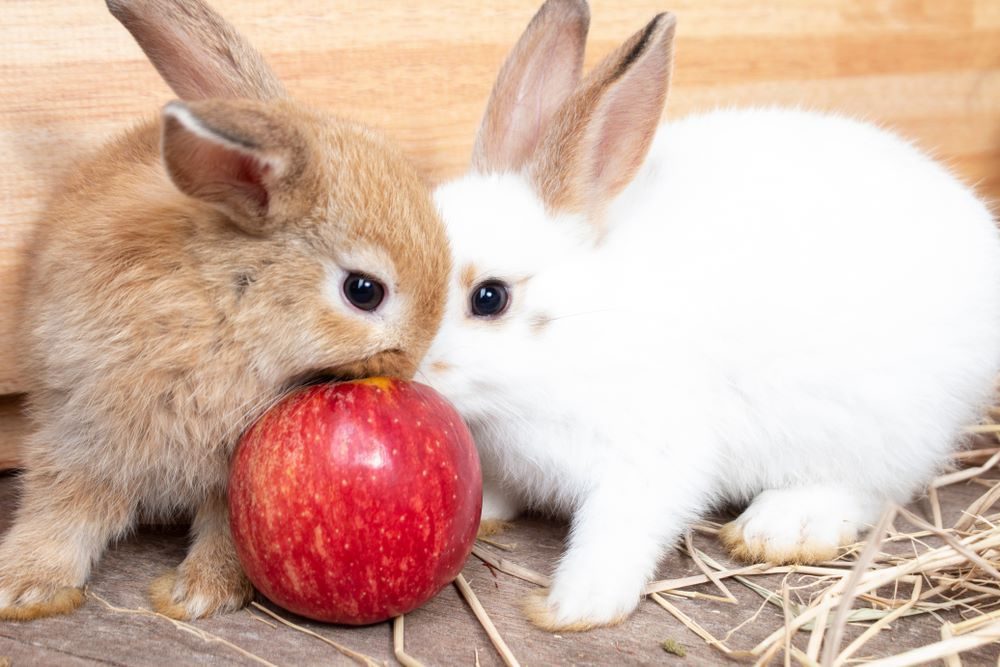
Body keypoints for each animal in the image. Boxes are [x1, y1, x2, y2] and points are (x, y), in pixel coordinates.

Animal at [0, 0, 450, 622]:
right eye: (364, 291)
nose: (407, 365)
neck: (230, 314)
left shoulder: (228, 476)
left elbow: (222, 534)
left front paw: (196, 596)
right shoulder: (82, 429)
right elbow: (63, 509)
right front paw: (24, 589)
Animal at [418, 0, 1000, 631]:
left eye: (490, 298)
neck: (579, 329)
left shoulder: (652, 457)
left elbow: (619, 533)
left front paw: (570, 608)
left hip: (880, 429)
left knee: (876, 490)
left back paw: (780, 528)